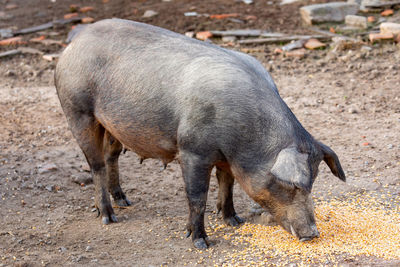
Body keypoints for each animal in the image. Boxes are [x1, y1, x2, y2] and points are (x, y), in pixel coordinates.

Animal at [54, 18, 346, 249]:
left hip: (113, 125)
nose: (312, 234)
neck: (245, 138)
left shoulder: (226, 158)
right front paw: (200, 242)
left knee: (111, 156)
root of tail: (77, 40)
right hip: (77, 110)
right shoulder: (192, 151)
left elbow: (227, 184)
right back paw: (108, 217)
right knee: (96, 165)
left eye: (313, 181)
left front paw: (234, 221)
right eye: (290, 185)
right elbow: (196, 197)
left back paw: (124, 201)